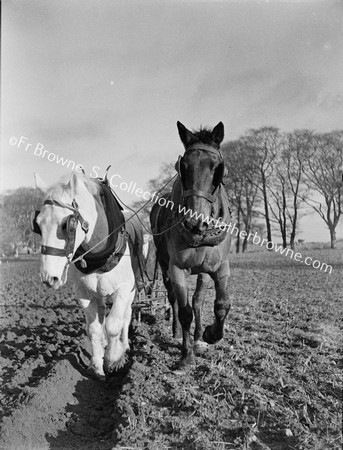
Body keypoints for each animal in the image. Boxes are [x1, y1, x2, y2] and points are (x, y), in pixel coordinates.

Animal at [32, 172, 145, 380]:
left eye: (66, 224)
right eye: (38, 224)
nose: (49, 277)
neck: (100, 255)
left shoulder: (123, 290)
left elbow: (114, 325)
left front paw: (113, 359)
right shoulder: (84, 294)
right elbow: (93, 329)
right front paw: (97, 366)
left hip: (132, 291)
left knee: (126, 316)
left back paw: (123, 346)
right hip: (98, 294)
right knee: (101, 314)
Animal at [150, 120, 231, 370]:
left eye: (217, 168)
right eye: (183, 167)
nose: (195, 223)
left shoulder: (220, 267)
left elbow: (221, 304)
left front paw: (210, 334)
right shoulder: (176, 268)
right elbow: (184, 310)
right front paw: (185, 356)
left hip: (203, 270)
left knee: (198, 301)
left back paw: (197, 337)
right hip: (164, 264)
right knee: (174, 300)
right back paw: (177, 333)